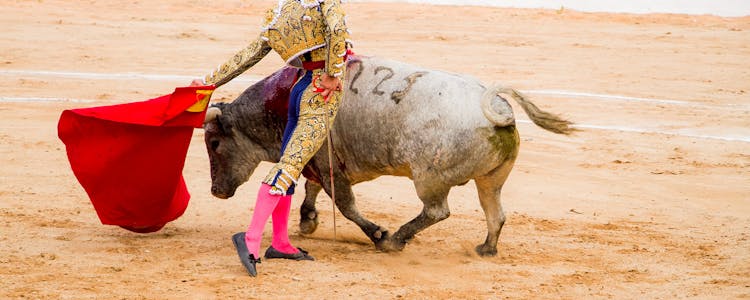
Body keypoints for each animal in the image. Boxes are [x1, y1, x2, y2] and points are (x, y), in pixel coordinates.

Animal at [203, 56, 572, 255]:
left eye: (214, 144)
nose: (215, 191)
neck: (280, 102)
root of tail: (497, 107)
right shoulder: (321, 162)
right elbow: (314, 188)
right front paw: (308, 220)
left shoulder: (325, 162)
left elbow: (346, 205)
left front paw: (378, 234)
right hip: (491, 180)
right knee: (495, 213)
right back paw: (486, 249)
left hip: (428, 179)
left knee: (437, 211)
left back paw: (395, 240)